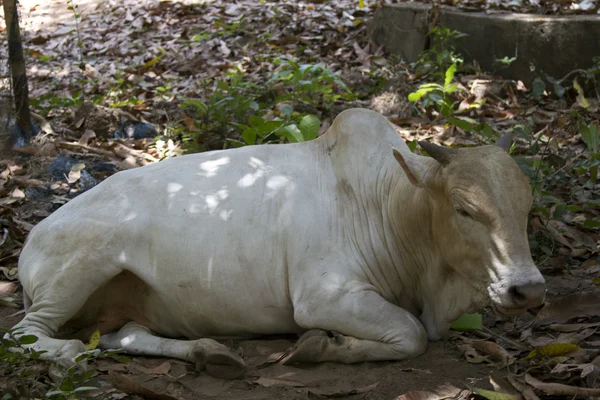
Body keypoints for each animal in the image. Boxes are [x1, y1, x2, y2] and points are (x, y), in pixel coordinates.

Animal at [16, 108, 548, 378]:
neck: (393, 205)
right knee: (29, 335)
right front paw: (321, 346)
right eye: (464, 209)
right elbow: (411, 334)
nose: (528, 289)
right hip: (82, 266)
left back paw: (208, 352)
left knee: (121, 334)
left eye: (526, 208)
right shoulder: (323, 297)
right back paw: (73, 354)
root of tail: (30, 240)